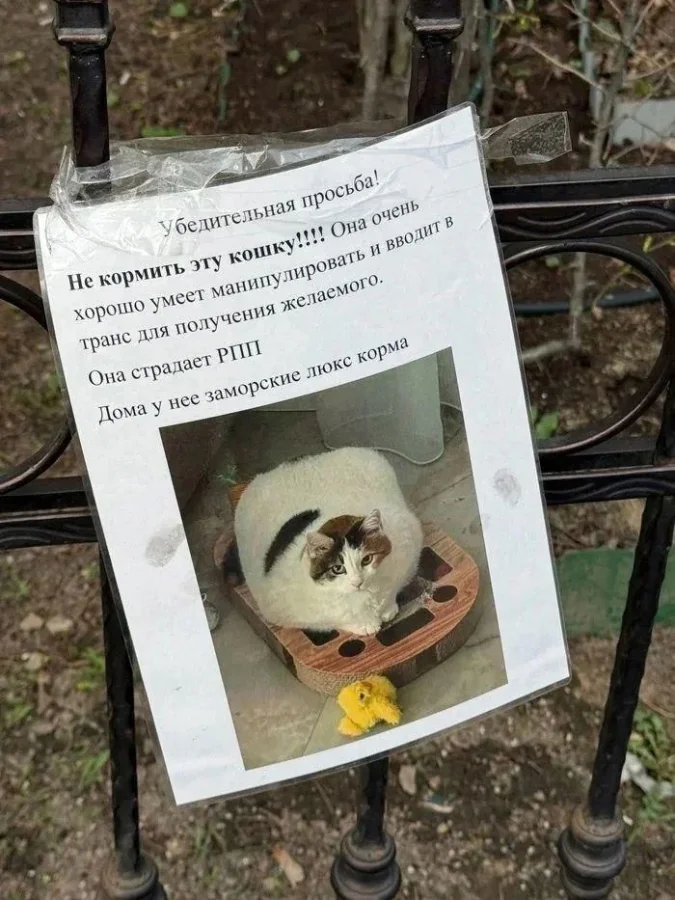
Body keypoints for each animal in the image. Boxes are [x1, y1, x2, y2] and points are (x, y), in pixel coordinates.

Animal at [231, 447, 424, 635]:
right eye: (338, 568)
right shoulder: (283, 608)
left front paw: (387, 610)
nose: (357, 582)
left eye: (366, 559)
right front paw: (366, 625)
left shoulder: (409, 541)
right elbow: (336, 620)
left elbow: (391, 592)